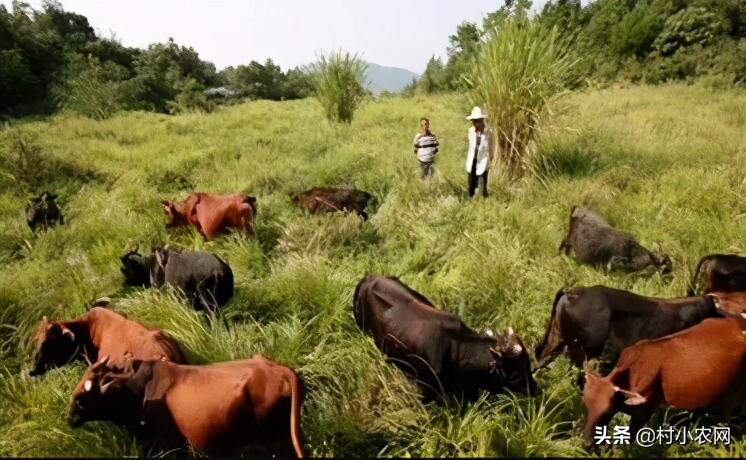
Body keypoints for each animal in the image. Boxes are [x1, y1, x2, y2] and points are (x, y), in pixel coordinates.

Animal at [580, 314, 744, 448]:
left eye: (607, 410)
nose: (587, 443)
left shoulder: (643, 413)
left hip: (736, 392)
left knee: (727, 415)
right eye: (586, 404)